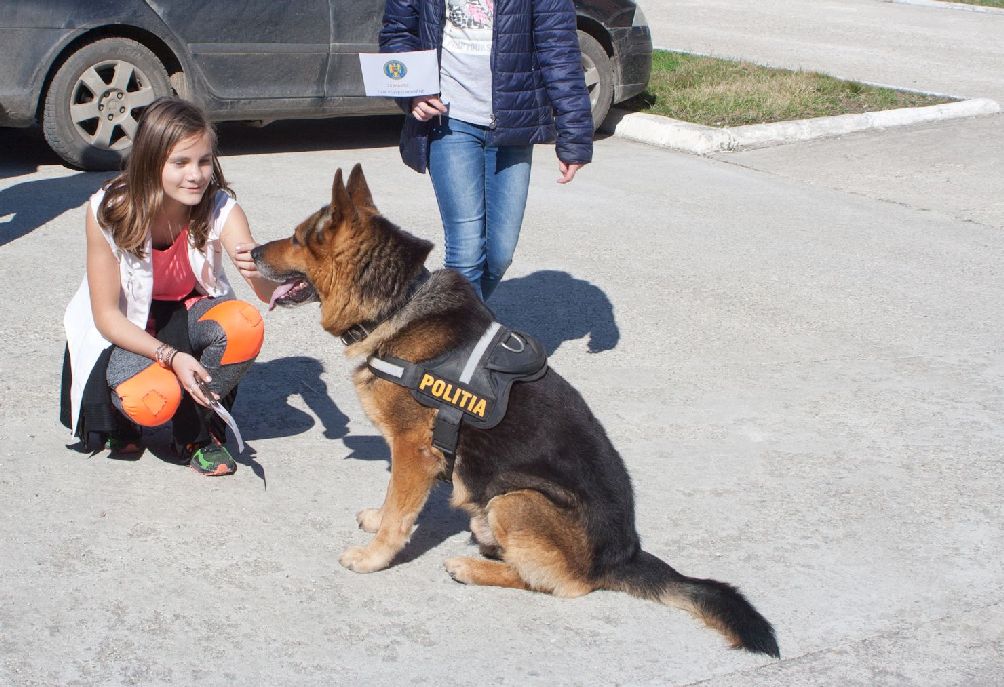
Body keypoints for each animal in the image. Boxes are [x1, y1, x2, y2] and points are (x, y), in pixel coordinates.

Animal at [248, 164, 775, 654]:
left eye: (295, 238)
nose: (250, 253)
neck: (396, 303)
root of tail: (623, 555)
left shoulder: (414, 451)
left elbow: (401, 512)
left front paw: (374, 556)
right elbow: (393, 500)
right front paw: (378, 517)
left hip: (516, 498)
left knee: (563, 585)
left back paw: (469, 566)